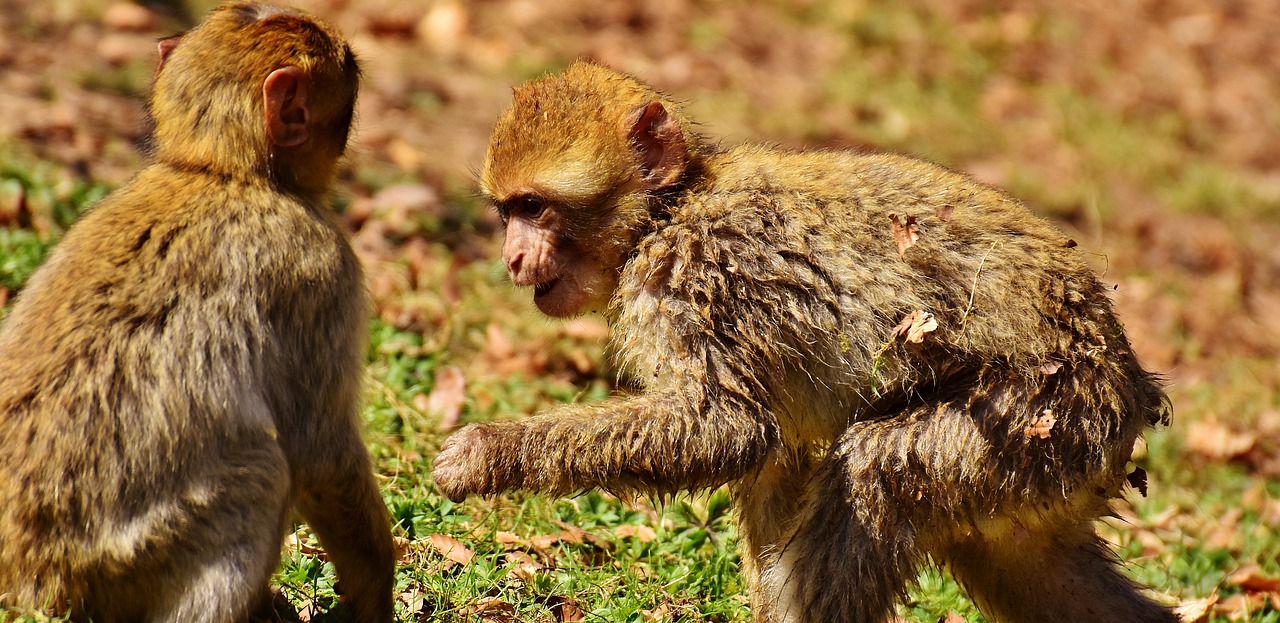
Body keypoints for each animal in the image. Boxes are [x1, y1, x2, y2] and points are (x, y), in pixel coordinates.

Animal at [0, 2, 394, 621]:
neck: (222, 171)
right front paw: (376, 594)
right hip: (124, 562)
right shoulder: (326, 275)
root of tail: (27, 582)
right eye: (348, 75)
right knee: (261, 475)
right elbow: (321, 452)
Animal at [435, 62, 1172, 623]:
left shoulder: (703, 276)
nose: (512, 257)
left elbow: (726, 426)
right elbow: (770, 455)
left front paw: (488, 452)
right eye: (508, 211)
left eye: (536, 207)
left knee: (876, 468)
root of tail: (1127, 377)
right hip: (1048, 464)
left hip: (1048, 412)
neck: (666, 213)